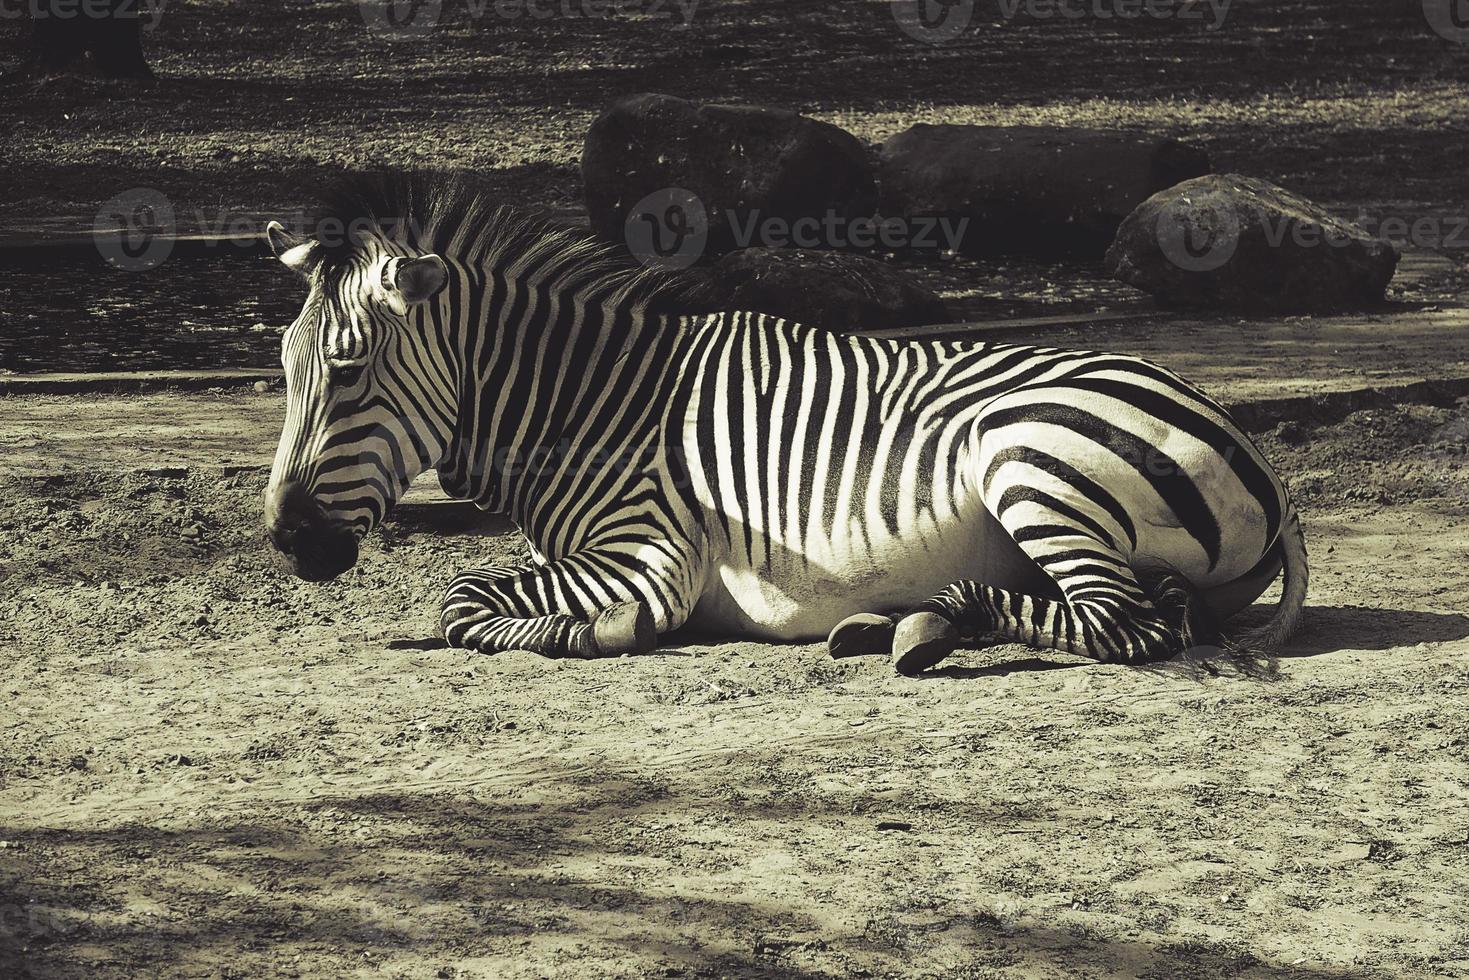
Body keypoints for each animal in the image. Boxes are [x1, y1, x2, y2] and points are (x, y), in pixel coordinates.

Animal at [261, 176, 1310, 675]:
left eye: (346, 375)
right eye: (281, 367)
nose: (282, 537)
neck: (590, 400)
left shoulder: (647, 551)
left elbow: (461, 599)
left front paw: (596, 631)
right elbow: (465, 595)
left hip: (1026, 456)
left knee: (1125, 627)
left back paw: (925, 625)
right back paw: (896, 621)